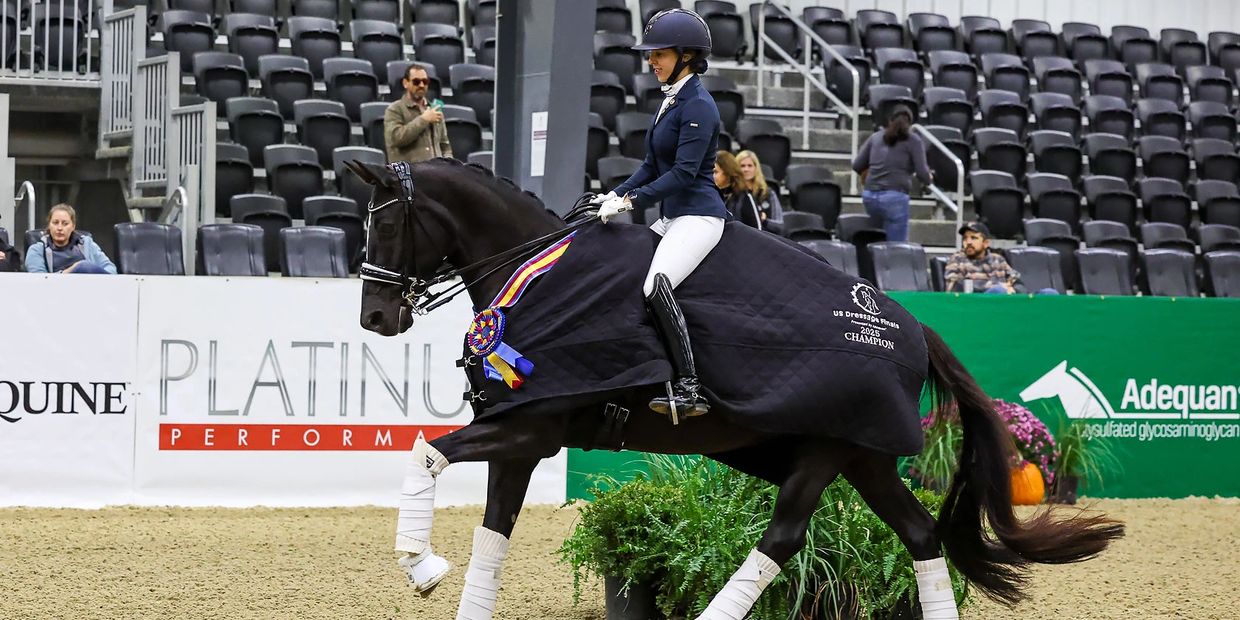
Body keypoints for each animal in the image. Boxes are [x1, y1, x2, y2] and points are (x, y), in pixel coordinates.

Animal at [345, 158, 1123, 620]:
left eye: (387, 223)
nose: (375, 319)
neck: (541, 276)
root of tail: (909, 326)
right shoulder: (522, 441)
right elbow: (491, 535)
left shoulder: (531, 427)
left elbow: (423, 453)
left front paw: (420, 565)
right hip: (862, 456)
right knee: (921, 533)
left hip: (829, 450)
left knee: (784, 536)